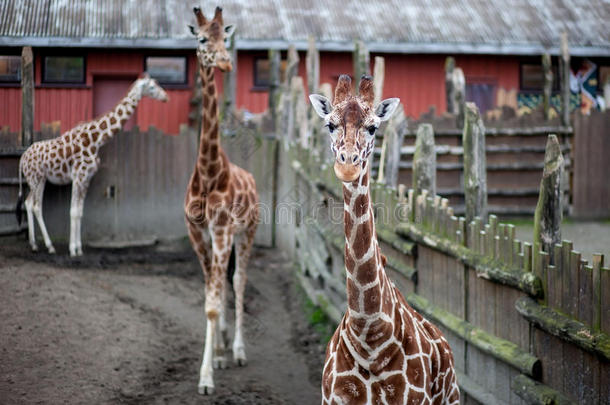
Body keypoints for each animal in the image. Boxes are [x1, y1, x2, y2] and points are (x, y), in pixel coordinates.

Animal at [18, 73, 167, 256]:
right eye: (152, 87)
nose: (166, 97)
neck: (96, 140)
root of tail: (22, 157)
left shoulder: (87, 178)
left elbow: (80, 212)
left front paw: (79, 249)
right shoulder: (79, 176)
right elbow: (73, 211)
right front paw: (72, 250)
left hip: (41, 179)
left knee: (30, 203)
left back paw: (36, 245)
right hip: (34, 179)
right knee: (35, 205)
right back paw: (48, 245)